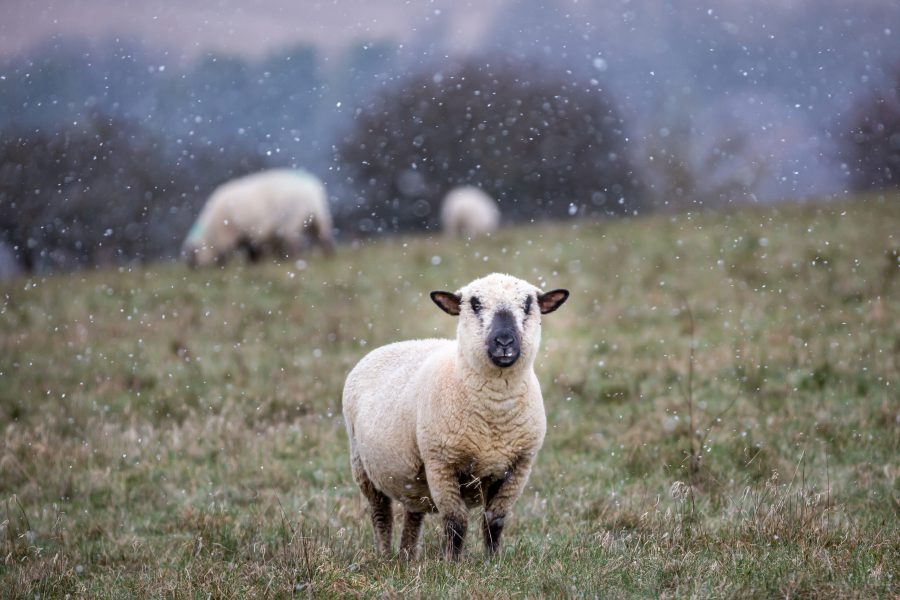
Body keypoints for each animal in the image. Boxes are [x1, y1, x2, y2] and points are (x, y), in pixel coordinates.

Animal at [182, 171, 334, 270]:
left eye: (193, 256)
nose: (193, 271)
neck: (211, 232)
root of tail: (311, 187)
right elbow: (253, 251)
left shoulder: (239, 233)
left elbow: (247, 251)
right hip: (318, 216)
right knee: (324, 237)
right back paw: (328, 257)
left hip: (292, 220)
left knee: (295, 243)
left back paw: (295, 260)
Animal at [344, 274, 568, 560]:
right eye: (475, 303)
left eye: (529, 304)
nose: (504, 342)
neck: (494, 418)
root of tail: (397, 344)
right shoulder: (442, 463)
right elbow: (455, 521)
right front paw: (452, 563)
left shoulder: (519, 465)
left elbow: (495, 520)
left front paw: (493, 561)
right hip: (362, 465)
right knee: (381, 514)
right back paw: (385, 554)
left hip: (413, 480)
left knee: (413, 512)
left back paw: (407, 556)